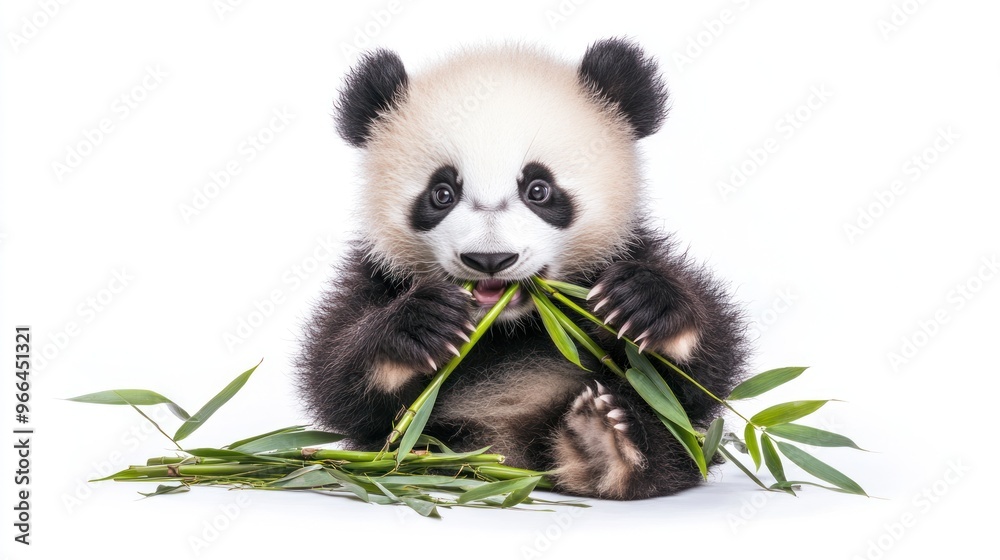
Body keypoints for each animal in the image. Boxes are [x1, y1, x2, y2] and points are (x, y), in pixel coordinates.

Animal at [298, 38, 748, 500]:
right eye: (441, 193)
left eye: (539, 189)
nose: (490, 260)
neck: (511, 326)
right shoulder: (378, 274)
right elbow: (338, 379)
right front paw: (422, 323)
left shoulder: (625, 251)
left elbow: (701, 378)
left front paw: (642, 302)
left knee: (672, 446)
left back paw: (605, 444)